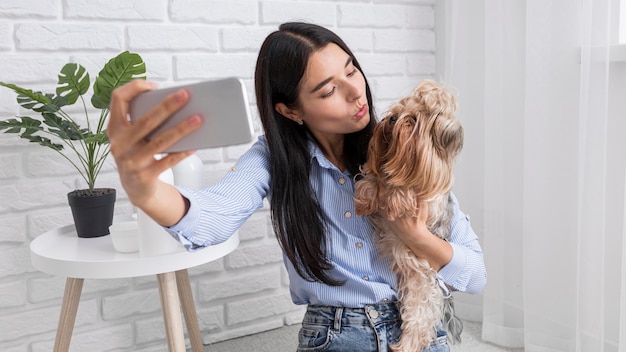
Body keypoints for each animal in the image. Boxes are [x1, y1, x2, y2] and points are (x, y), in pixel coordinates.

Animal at [354, 80, 460, 352]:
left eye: (411, 120)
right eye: (398, 110)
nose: (392, 118)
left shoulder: (427, 200)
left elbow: (403, 190)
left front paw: (396, 196)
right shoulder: (376, 172)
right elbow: (372, 178)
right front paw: (367, 199)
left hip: (423, 287)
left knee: (420, 323)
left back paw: (404, 345)